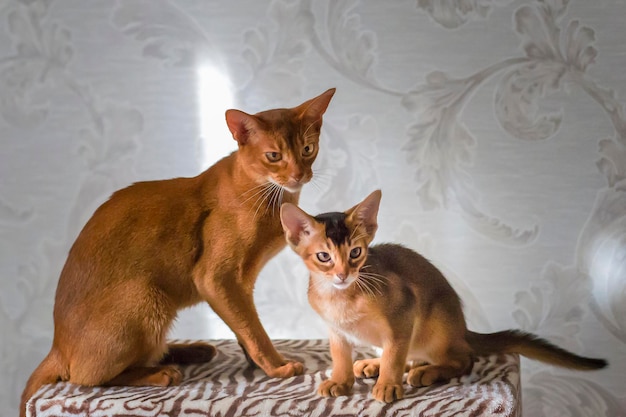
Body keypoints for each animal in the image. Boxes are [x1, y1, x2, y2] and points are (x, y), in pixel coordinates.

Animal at [19, 88, 334, 416]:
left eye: (308, 149)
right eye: (273, 156)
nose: (299, 175)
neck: (268, 194)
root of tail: (57, 345)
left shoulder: (240, 285)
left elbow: (243, 326)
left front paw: (255, 362)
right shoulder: (217, 279)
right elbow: (253, 328)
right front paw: (276, 366)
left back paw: (189, 351)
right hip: (146, 296)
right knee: (86, 376)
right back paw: (161, 372)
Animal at [280, 189, 608, 404]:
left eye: (356, 253)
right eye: (324, 257)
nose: (342, 274)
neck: (341, 297)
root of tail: (463, 329)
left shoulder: (404, 313)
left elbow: (395, 356)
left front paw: (388, 385)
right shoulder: (335, 331)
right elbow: (341, 357)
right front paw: (340, 380)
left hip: (433, 324)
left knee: (463, 359)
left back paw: (424, 372)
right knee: (410, 356)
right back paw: (374, 364)